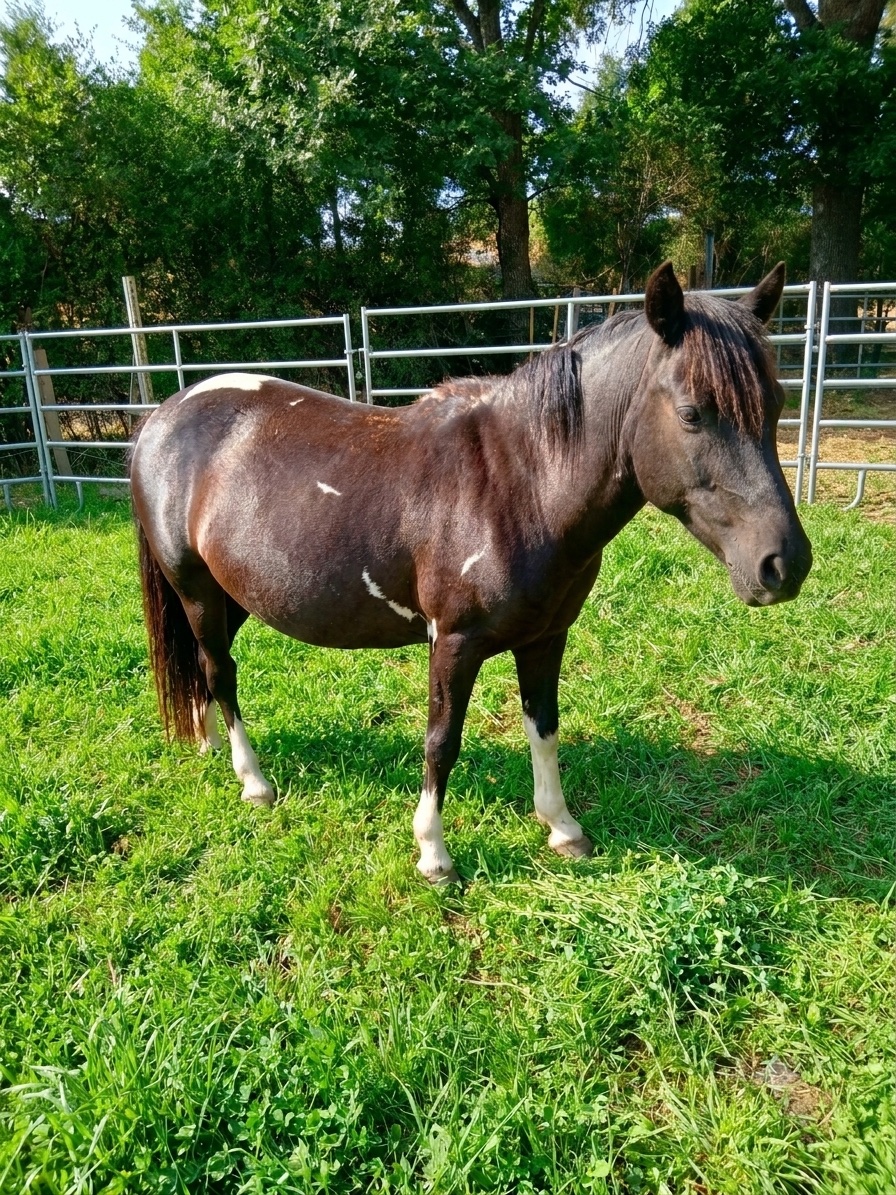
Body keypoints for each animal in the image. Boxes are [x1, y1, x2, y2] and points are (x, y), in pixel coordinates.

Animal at [130, 261, 812, 885]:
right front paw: (433, 855)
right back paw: (254, 782)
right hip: (195, 589)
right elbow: (441, 741)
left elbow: (544, 727)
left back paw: (206, 743)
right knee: (220, 670)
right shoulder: (453, 643)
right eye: (693, 412)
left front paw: (563, 829)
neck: (520, 484)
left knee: (205, 667)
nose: (785, 564)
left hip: (234, 596)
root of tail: (163, 416)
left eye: (777, 403)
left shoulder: (545, 638)